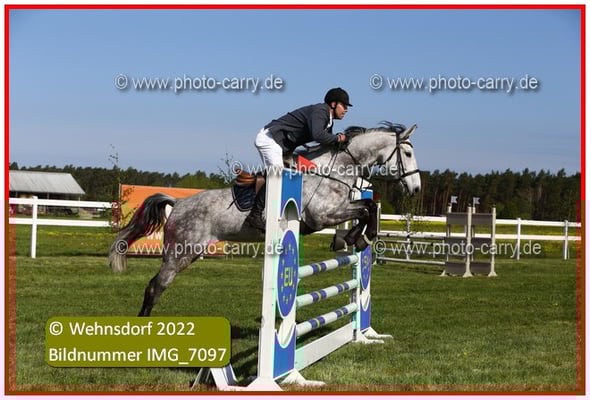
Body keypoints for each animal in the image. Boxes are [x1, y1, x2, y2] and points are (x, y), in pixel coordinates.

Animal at [108, 122, 421, 316]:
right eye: (407, 152)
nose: (416, 189)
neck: (333, 169)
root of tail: (179, 202)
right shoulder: (322, 216)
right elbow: (365, 209)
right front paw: (358, 237)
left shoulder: (339, 208)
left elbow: (368, 205)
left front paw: (356, 238)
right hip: (180, 253)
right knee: (155, 286)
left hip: (191, 252)